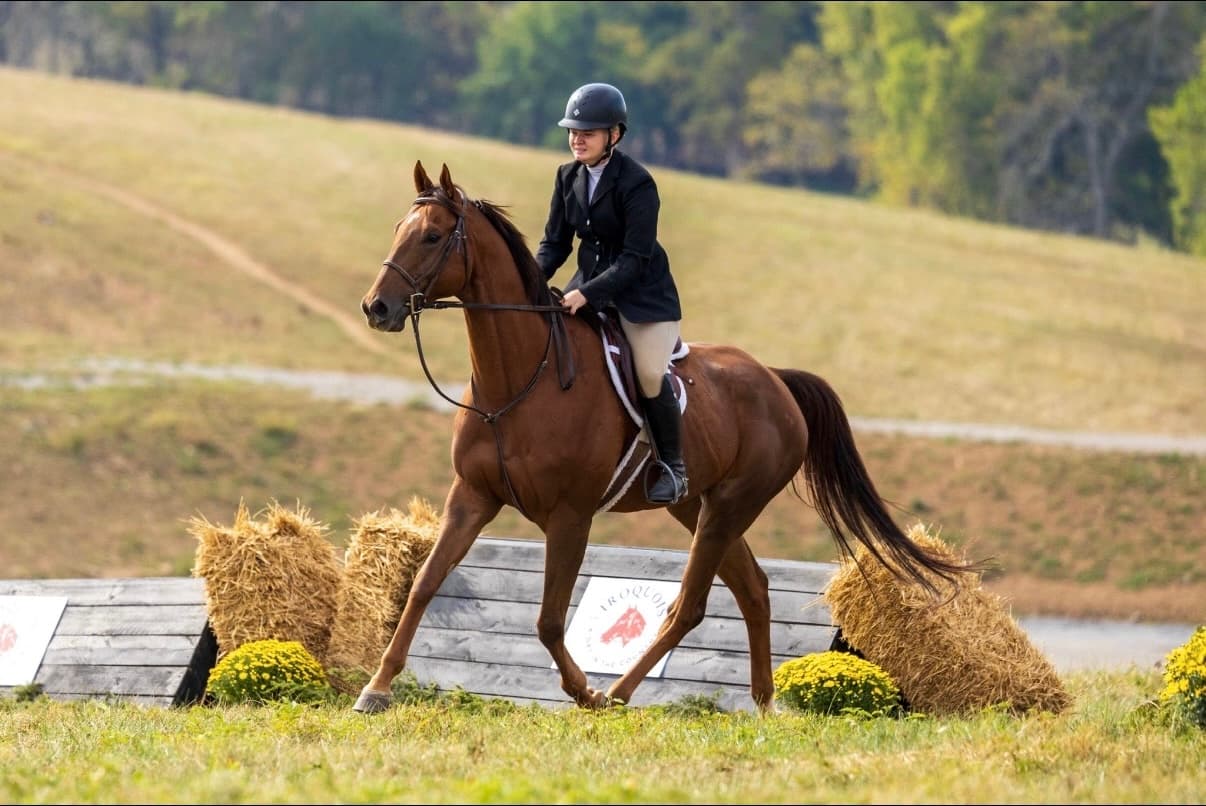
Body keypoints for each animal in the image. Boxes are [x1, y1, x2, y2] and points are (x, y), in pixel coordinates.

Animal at [354, 160, 981, 713]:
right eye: (399, 229)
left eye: (433, 236)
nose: (376, 308)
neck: (518, 381)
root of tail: (775, 379)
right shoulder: (472, 497)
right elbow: (424, 584)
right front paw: (377, 688)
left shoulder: (569, 515)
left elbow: (550, 620)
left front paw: (583, 693)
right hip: (695, 506)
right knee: (752, 587)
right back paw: (762, 705)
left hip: (730, 505)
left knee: (691, 605)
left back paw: (619, 693)